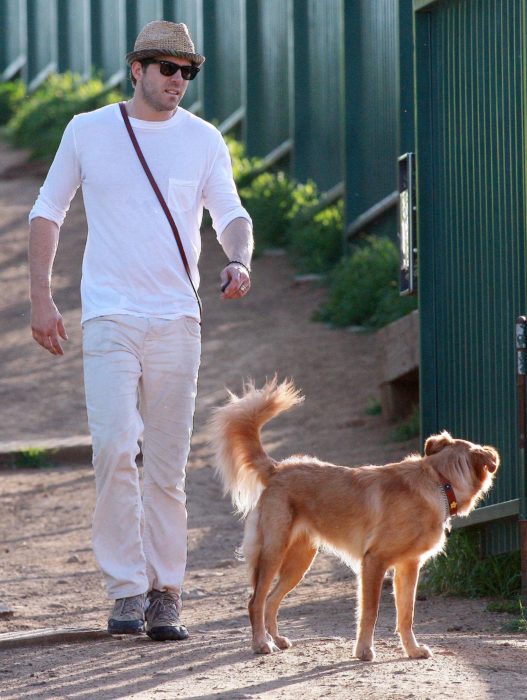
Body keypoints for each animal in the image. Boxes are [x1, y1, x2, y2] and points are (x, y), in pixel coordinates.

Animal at [209, 380, 500, 660]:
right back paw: (261, 643)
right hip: (273, 552)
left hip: (299, 562)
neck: (439, 482)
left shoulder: (408, 566)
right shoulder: (374, 561)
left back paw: (277, 639)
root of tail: (278, 469)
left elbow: (406, 615)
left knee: (271, 601)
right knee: (255, 601)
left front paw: (412, 650)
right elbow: (370, 612)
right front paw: (364, 651)